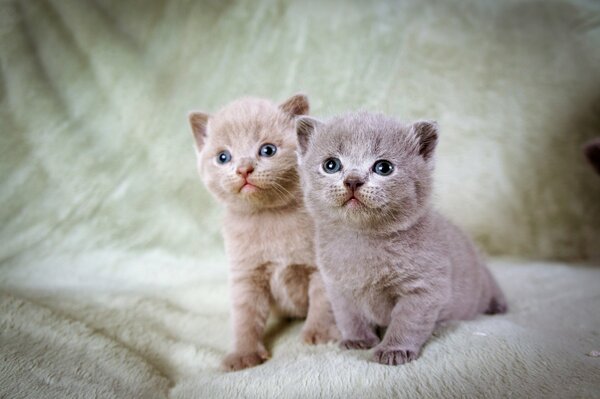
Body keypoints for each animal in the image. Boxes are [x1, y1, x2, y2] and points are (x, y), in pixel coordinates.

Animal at [188, 94, 338, 372]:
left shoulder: (320, 267)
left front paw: (320, 334)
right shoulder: (247, 276)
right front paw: (244, 355)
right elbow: (245, 317)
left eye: (268, 150)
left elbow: (322, 301)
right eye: (223, 157)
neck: (268, 217)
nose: (244, 168)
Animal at [296, 111, 506, 366]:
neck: (363, 239)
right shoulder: (338, 287)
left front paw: (394, 349)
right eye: (331, 165)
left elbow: (406, 322)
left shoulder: (424, 288)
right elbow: (350, 316)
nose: (353, 180)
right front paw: (358, 340)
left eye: (383, 167)